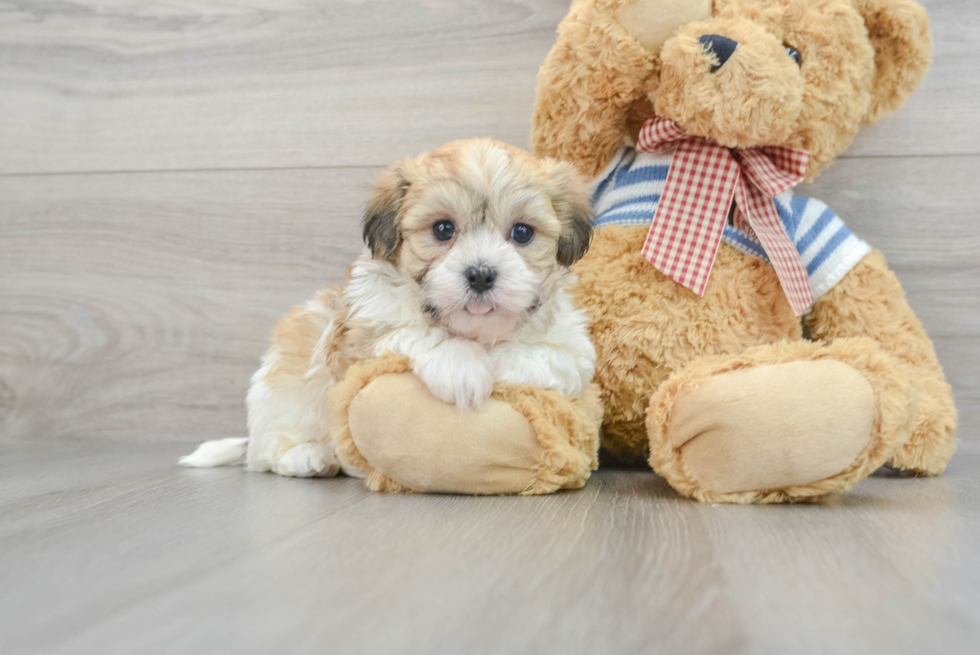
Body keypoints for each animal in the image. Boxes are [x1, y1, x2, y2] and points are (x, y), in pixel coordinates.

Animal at [182, 140, 596, 476]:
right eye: (443, 229)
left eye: (522, 232)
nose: (480, 275)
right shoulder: (361, 331)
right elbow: (412, 331)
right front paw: (463, 366)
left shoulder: (573, 349)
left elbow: (543, 356)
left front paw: (498, 364)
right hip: (285, 393)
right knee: (268, 452)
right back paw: (309, 457)